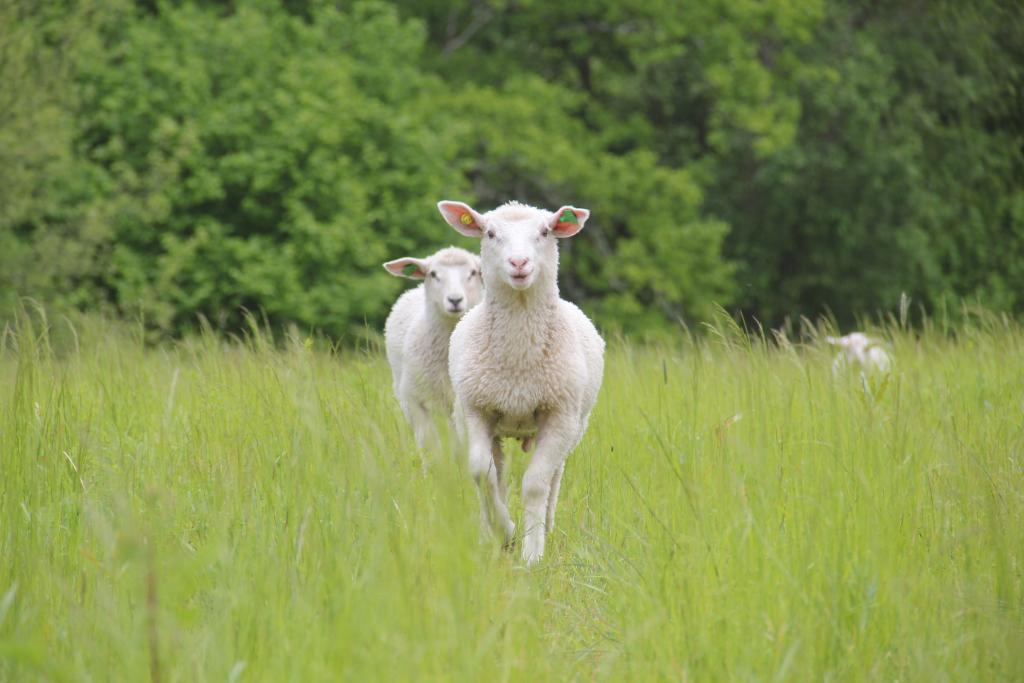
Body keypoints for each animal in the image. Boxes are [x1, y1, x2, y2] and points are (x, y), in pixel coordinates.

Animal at [437, 199, 605, 565]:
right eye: (489, 233)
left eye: (544, 232)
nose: (519, 263)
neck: (518, 361)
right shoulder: (477, 410)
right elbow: (481, 473)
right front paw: (506, 532)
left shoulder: (559, 415)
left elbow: (535, 484)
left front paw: (532, 553)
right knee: (496, 473)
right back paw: (488, 532)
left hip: (575, 425)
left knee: (555, 476)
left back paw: (548, 526)